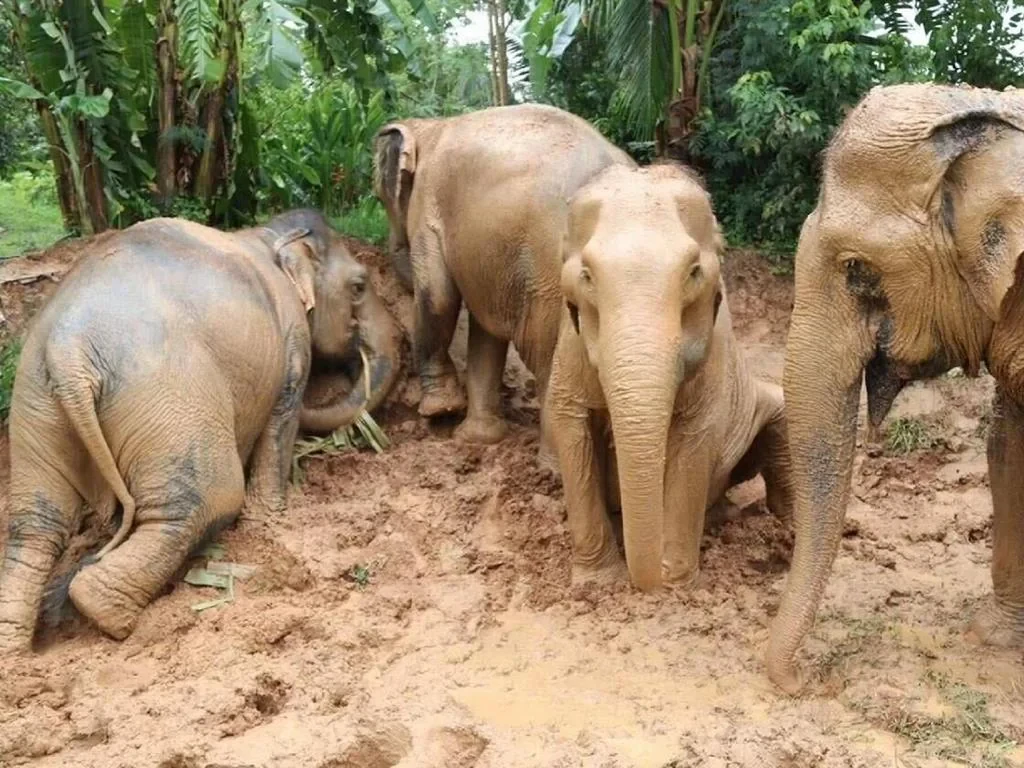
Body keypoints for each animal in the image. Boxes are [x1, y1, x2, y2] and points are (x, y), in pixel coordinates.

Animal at [0, 209, 400, 650]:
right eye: (359, 286)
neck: (267, 233)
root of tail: (67, 350)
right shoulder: (292, 337)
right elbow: (284, 410)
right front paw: (271, 521)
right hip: (166, 394)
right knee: (206, 499)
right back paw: (112, 619)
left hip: (35, 405)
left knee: (35, 527)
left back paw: (17, 649)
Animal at [373, 104, 634, 461]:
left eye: (378, 198)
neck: (431, 126)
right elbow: (486, 331)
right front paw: (475, 439)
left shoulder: (428, 207)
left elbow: (438, 298)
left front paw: (439, 413)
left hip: (547, 270)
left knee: (545, 353)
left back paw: (548, 466)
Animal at [547, 163, 793, 591]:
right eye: (586, 276)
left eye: (693, 272)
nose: (646, 580)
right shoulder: (570, 351)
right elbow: (570, 426)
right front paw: (598, 583)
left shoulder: (713, 357)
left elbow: (694, 441)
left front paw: (674, 585)